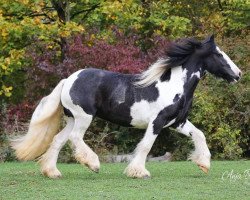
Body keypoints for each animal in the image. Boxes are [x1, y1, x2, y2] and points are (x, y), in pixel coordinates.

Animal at [10, 34, 242, 178]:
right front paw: (139, 172)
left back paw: (53, 172)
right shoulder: (157, 122)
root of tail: (68, 79)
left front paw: (204, 164)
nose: (238, 74)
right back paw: (93, 165)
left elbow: (199, 134)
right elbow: (146, 146)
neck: (174, 85)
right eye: (219, 54)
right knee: (75, 138)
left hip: (72, 119)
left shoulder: (178, 122)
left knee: (58, 140)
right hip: (84, 117)